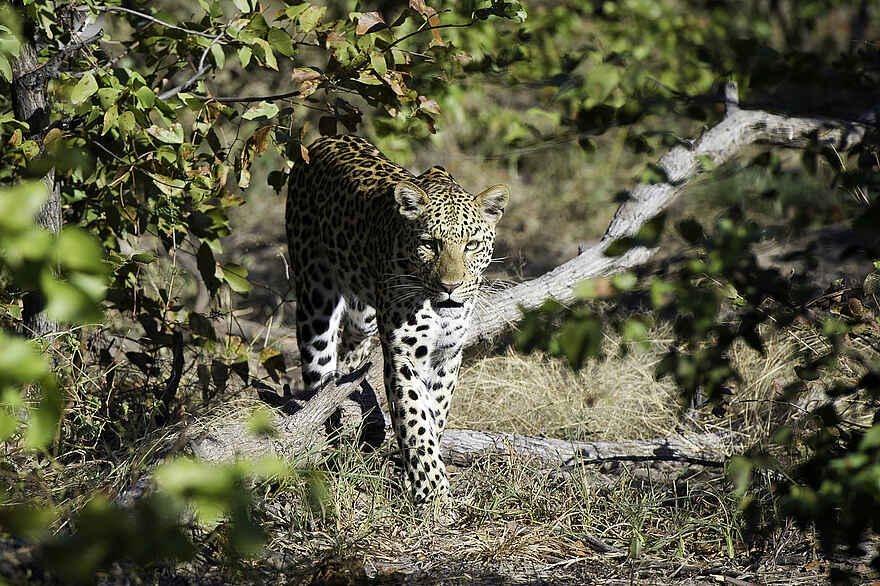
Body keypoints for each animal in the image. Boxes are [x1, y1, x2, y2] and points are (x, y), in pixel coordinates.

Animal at [285, 135, 508, 504]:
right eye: (429, 244)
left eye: (472, 245)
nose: (450, 286)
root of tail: (326, 139)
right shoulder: (405, 354)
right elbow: (415, 418)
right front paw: (432, 492)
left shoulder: (448, 355)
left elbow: (435, 413)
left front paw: (415, 476)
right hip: (315, 297)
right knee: (318, 366)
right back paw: (324, 423)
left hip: (364, 315)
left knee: (352, 346)